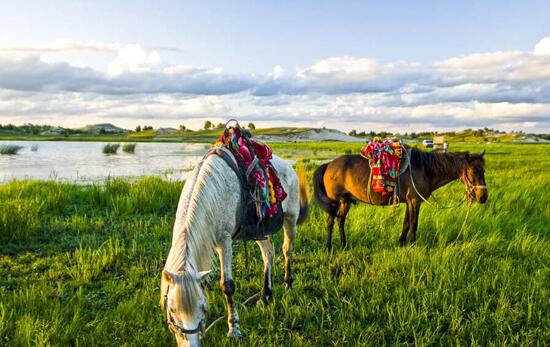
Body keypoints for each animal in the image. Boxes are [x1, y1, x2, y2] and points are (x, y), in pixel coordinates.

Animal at [161, 152, 310, 347]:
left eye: (202, 307)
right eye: (172, 310)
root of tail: (289, 168)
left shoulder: (224, 241)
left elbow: (227, 285)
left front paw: (234, 329)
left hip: (290, 219)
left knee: (287, 249)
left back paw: (287, 283)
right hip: (259, 232)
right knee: (268, 253)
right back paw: (266, 296)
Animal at [312, 147, 490, 250]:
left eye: (484, 170)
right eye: (474, 171)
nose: (483, 197)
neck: (425, 169)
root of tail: (328, 164)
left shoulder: (409, 202)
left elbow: (406, 224)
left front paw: (401, 243)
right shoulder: (415, 202)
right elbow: (413, 224)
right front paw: (413, 246)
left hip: (346, 201)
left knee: (340, 220)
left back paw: (344, 244)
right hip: (336, 201)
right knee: (330, 222)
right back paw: (329, 247)